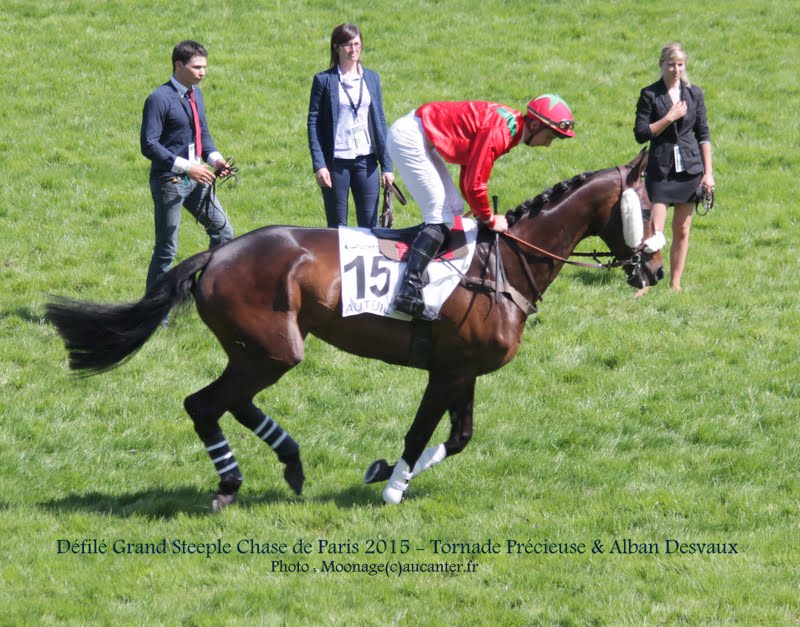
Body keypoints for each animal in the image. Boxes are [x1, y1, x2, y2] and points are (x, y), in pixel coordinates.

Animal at [47, 151, 664, 510]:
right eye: (646, 207)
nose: (656, 270)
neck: (507, 264)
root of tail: (216, 254)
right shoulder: (448, 369)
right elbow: (421, 433)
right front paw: (392, 485)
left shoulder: (462, 371)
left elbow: (459, 436)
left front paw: (388, 472)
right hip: (273, 349)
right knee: (204, 403)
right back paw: (230, 484)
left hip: (256, 351)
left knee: (229, 402)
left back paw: (291, 462)